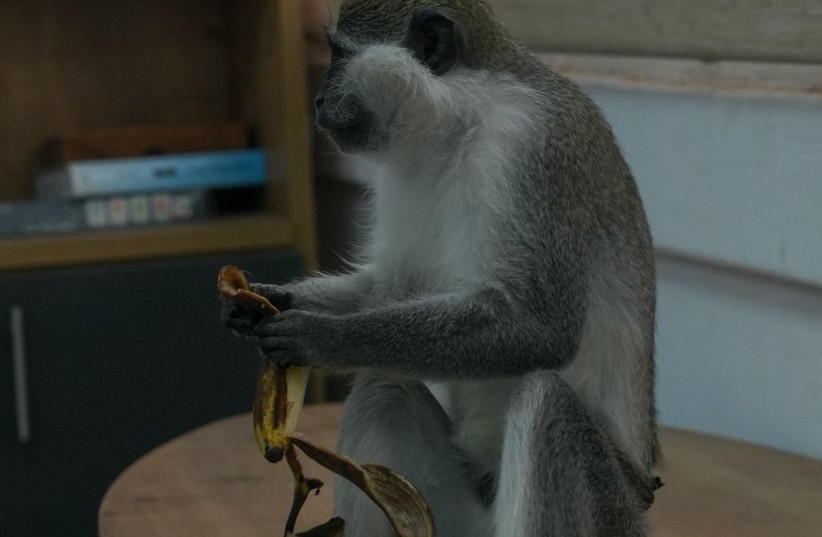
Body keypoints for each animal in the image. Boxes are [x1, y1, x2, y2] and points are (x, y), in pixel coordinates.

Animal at [222, 1, 659, 535]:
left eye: (339, 54)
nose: (319, 100)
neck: (461, 117)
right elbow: (391, 288)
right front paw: (267, 301)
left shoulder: (531, 146)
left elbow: (540, 329)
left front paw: (322, 337)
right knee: (384, 387)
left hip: (612, 513)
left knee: (545, 402)